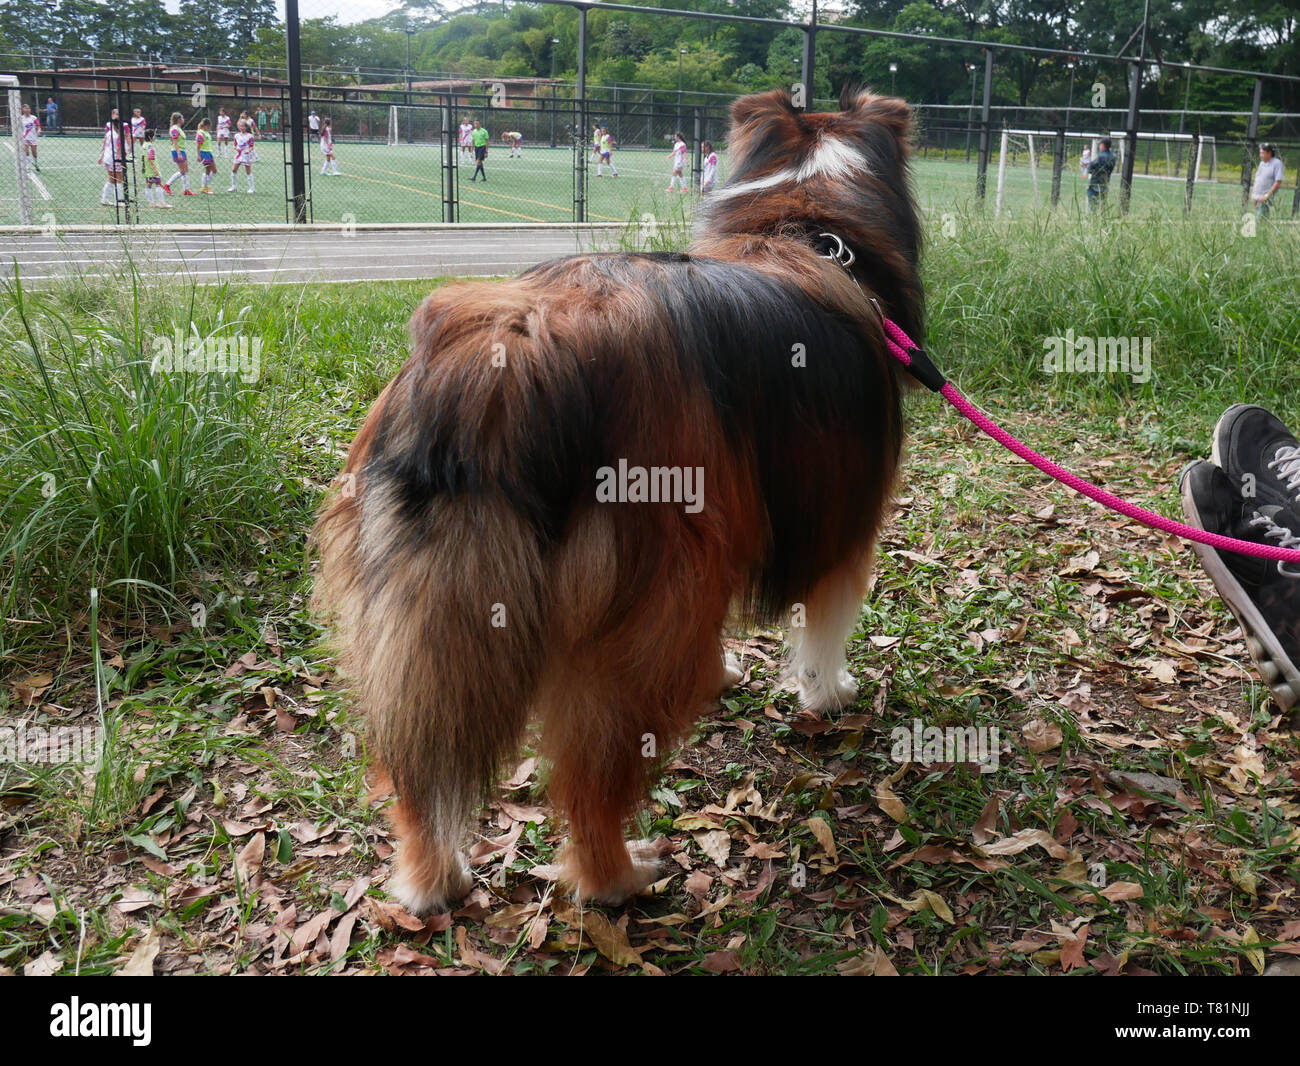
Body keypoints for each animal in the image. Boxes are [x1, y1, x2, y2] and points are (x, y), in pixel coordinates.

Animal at [313, 87, 925, 909]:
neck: (802, 223)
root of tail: (507, 350)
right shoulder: (842, 523)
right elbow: (826, 624)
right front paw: (828, 693)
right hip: (652, 598)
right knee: (591, 784)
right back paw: (619, 875)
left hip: (419, 612)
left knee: (415, 771)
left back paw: (429, 879)